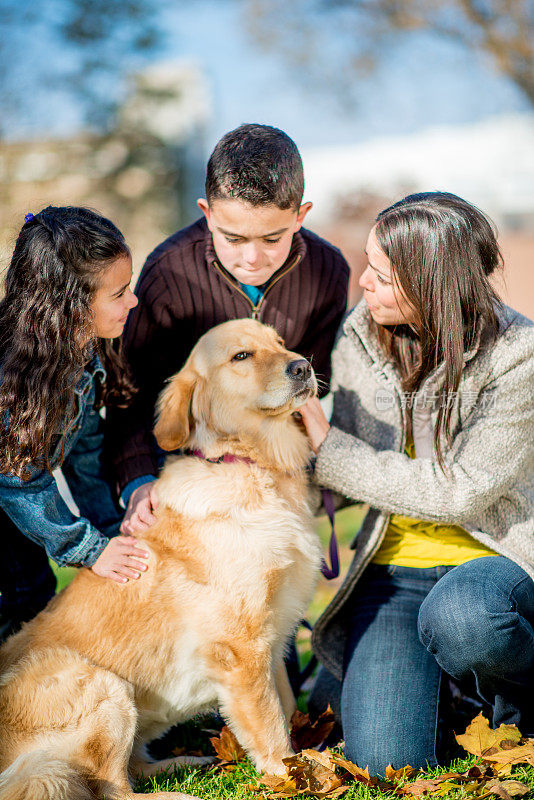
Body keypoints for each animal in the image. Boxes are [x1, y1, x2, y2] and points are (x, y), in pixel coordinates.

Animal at [0, 320, 322, 800]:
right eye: (241, 356)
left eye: (280, 343)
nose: (303, 366)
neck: (251, 465)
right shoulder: (241, 647)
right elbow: (270, 725)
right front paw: (290, 778)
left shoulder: (276, 634)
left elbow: (284, 707)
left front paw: (310, 763)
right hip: (100, 686)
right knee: (114, 789)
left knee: (133, 770)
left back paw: (186, 763)